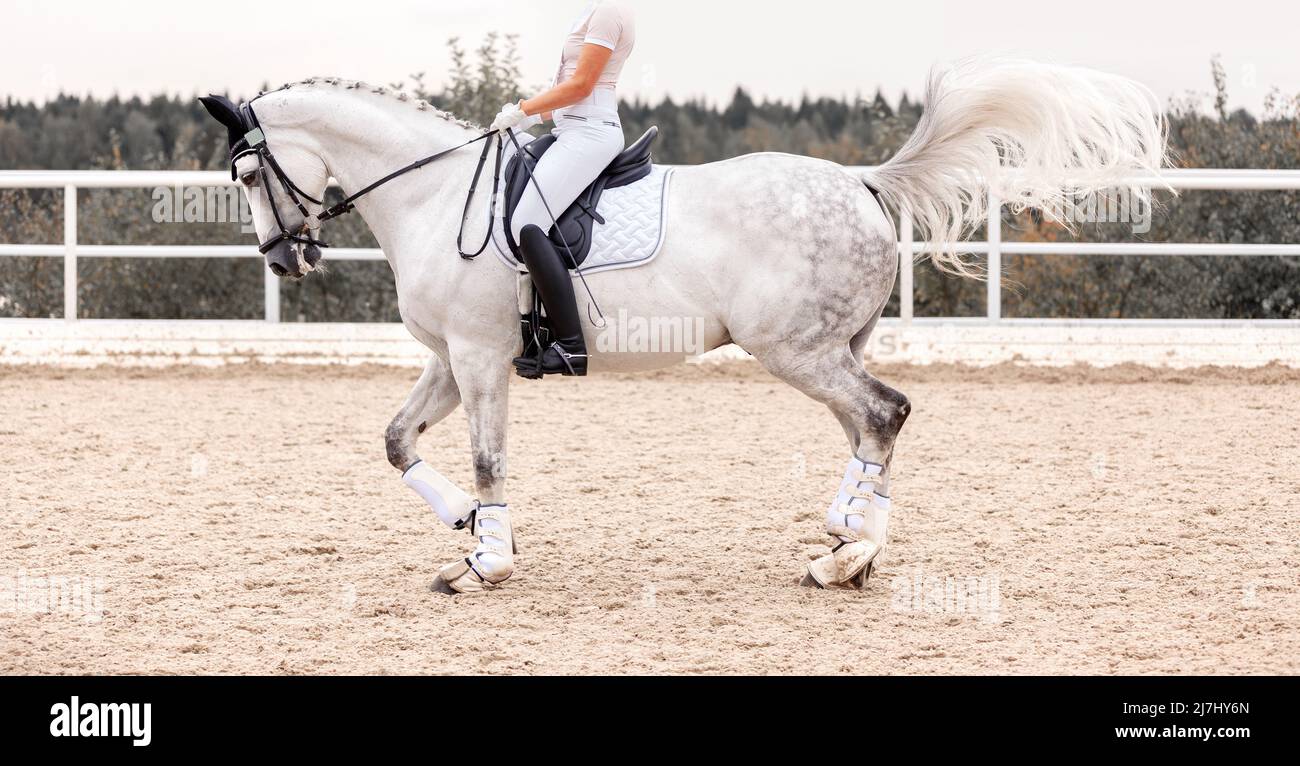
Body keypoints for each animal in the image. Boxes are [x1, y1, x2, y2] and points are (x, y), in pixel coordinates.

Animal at [200, 59, 1170, 595]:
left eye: (247, 174)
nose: (285, 261)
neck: (434, 192)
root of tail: (864, 182)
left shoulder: (479, 358)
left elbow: (488, 459)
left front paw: (486, 562)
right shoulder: (451, 359)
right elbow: (399, 441)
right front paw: (464, 530)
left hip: (796, 349)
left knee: (884, 413)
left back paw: (847, 558)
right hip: (826, 348)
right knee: (866, 427)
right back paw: (844, 541)